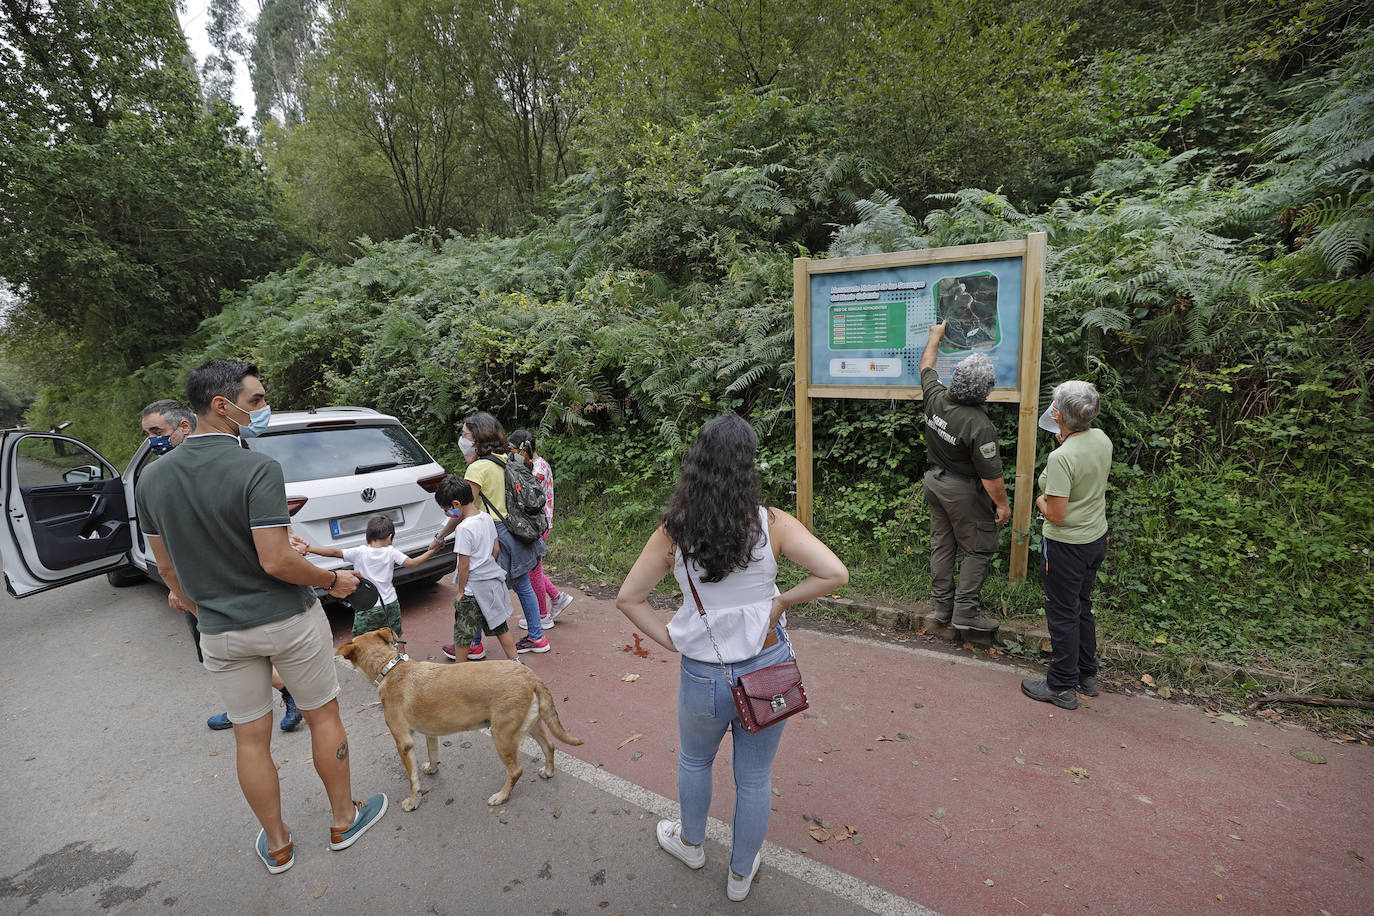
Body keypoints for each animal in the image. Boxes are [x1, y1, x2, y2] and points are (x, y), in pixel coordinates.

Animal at [342, 631, 585, 807]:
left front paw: (413, 801)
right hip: (531, 725)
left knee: (516, 771)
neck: (390, 668)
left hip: (502, 735)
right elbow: (433, 754)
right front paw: (432, 768)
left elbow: (412, 780)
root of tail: (531, 676)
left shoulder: (403, 743)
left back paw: (501, 796)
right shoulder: (430, 734)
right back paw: (549, 771)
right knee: (550, 746)